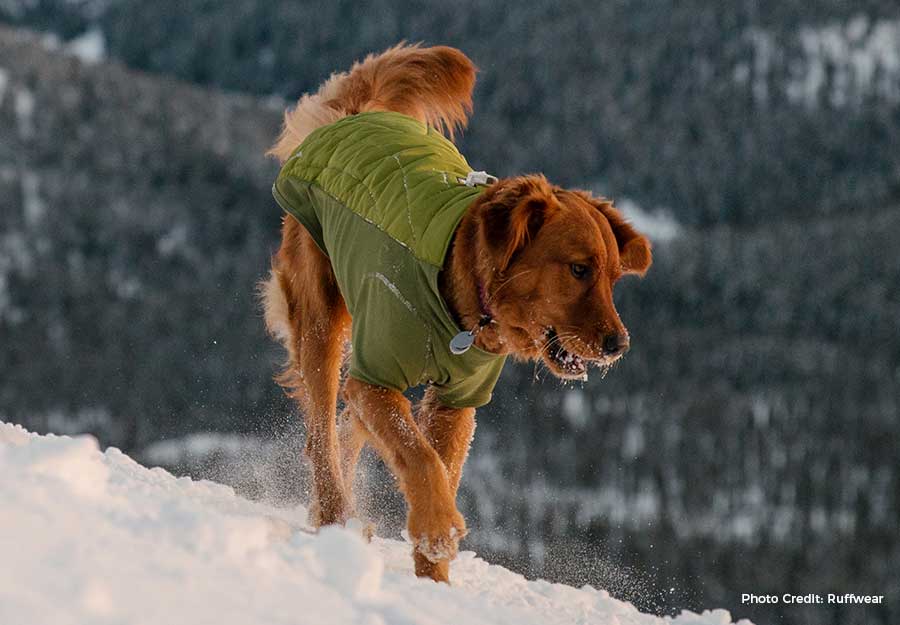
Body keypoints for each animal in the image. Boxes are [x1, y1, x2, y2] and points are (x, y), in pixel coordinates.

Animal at [260, 42, 648, 580]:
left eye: (613, 276)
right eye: (578, 269)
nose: (619, 344)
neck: (461, 306)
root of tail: (360, 112)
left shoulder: (457, 402)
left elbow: (436, 462)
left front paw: (433, 578)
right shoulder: (377, 377)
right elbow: (419, 458)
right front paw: (439, 529)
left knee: (346, 425)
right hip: (322, 323)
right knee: (322, 434)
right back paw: (335, 516)